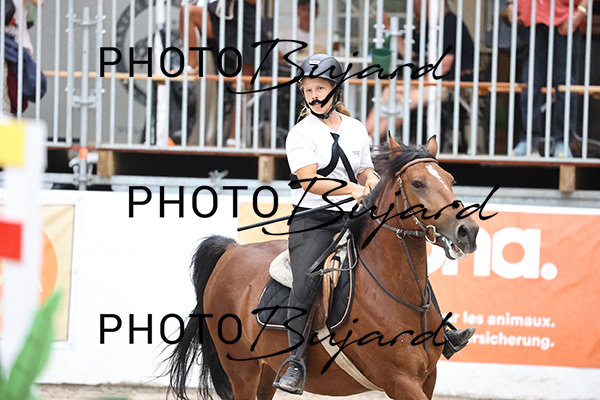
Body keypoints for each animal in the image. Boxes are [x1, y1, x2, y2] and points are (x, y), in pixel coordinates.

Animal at [166, 136, 479, 400]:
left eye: (450, 179)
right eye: (417, 183)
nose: (468, 231)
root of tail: (231, 250)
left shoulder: (427, 379)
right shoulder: (400, 381)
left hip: (267, 370)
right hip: (243, 373)